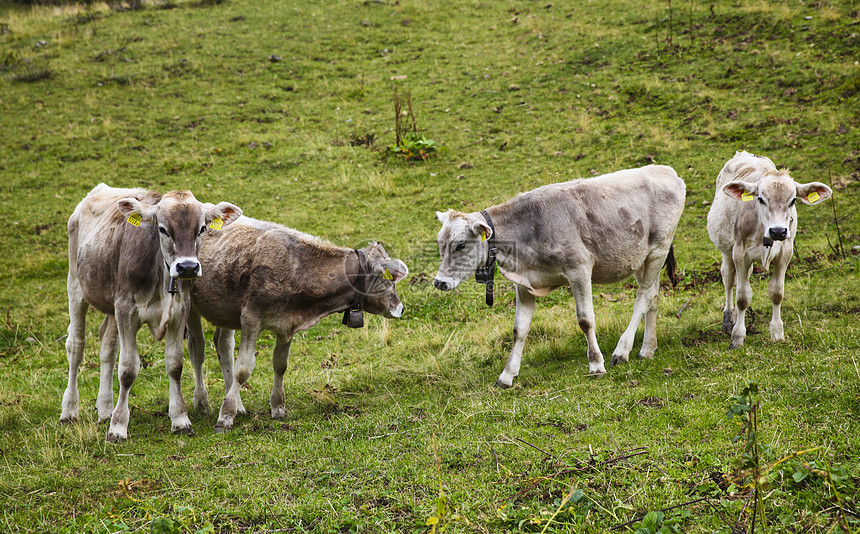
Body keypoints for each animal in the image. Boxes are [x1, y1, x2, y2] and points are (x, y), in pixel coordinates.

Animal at [61, 184, 242, 444]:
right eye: (163, 228)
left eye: (202, 228)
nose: (187, 267)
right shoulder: (126, 309)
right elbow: (127, 369)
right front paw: (118, 427)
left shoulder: (179, 311)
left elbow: (175, 364)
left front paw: (180, 419)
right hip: (76, 286)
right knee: (76, 345)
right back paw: (69, 410)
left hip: (111, 305)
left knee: (107, 344)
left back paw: (105, 408)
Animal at [186, 216, 408, 434]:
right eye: (388, 279)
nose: (400, 308)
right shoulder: (251, 318)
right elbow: (244, 369)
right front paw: (225, 416)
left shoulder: (287, 325)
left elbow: (280, 365)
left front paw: (278, 407)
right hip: (189, 305)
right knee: (197, 349)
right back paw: (202, 402)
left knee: (223, 346)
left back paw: (238, 405)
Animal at [434, 165, 688, 388]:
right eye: (440, 243)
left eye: (460, 245)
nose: (439, 282)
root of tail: (666, 171)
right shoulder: (524, 284)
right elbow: (519, 329)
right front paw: (507, 375)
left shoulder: (579, 269)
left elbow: (585, 320)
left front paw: (596, 364)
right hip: (638, 259)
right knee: (653, 297)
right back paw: (647, 349)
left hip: (658, 249)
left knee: (643, 297)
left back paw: (622, 350)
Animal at [704, 152, 832, 352]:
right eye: (761, 199)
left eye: (793, 200)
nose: (778, 231)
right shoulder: (740, 253)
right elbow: (742, 297)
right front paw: (738, 336)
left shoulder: (785, 253)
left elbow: (777, 293)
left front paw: (777, 333)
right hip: (726, 249)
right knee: (729, 279)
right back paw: (728, 319)